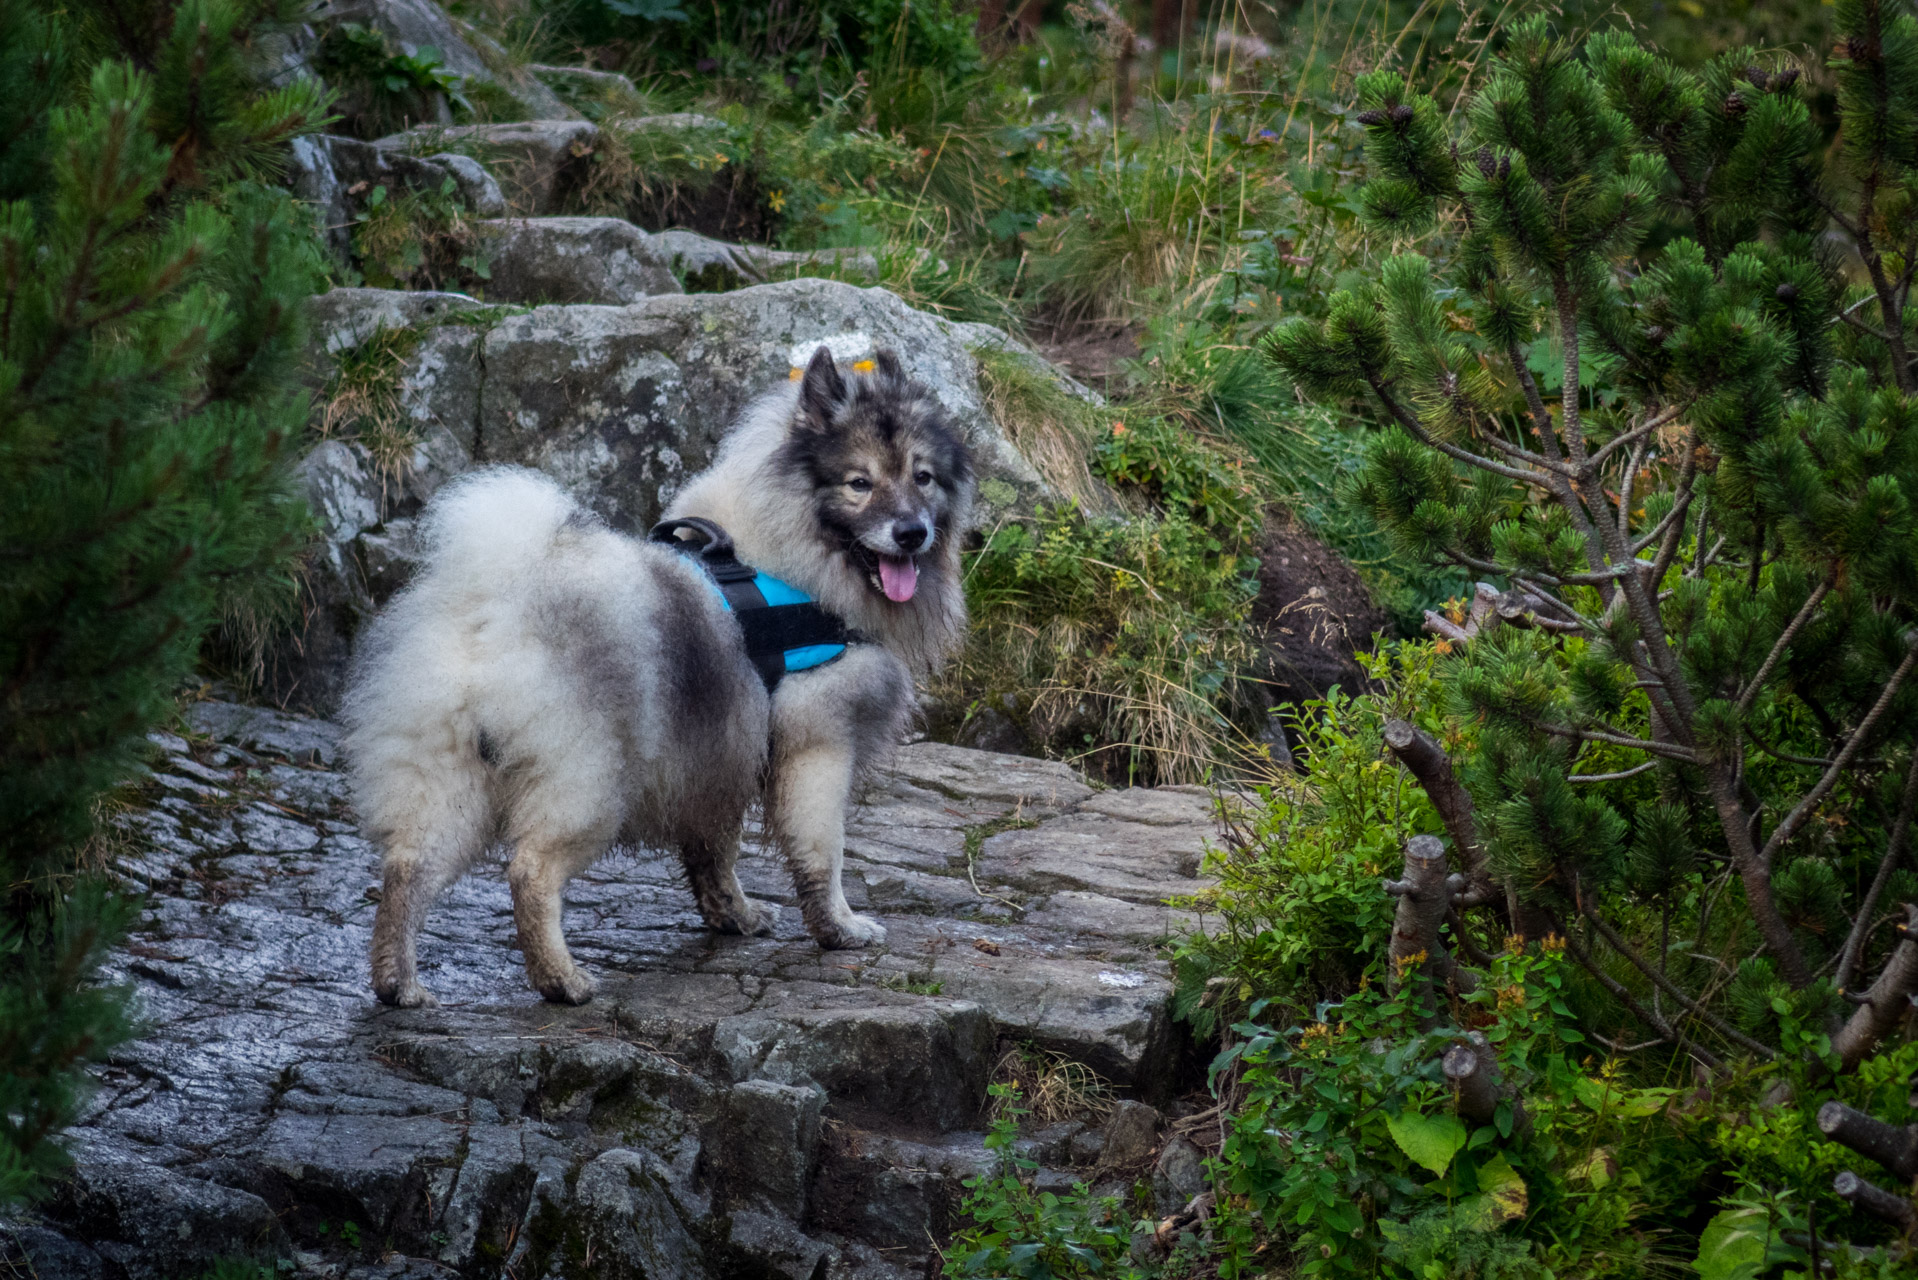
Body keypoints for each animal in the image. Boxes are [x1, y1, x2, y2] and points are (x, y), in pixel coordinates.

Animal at [337, 345, 974, 1005]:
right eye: (859, 483)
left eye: (923, 477)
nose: (912, 532)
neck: (791, 560)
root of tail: (493, 608)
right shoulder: (817, 745)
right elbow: (823, 852)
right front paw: (840, 928)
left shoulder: (718, 757)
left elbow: (714, 852)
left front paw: (734, 916)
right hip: (588, 785)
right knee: (530, 871)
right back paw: (561, 979)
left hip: (450, 779)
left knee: (408, 867)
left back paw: (399, 983)